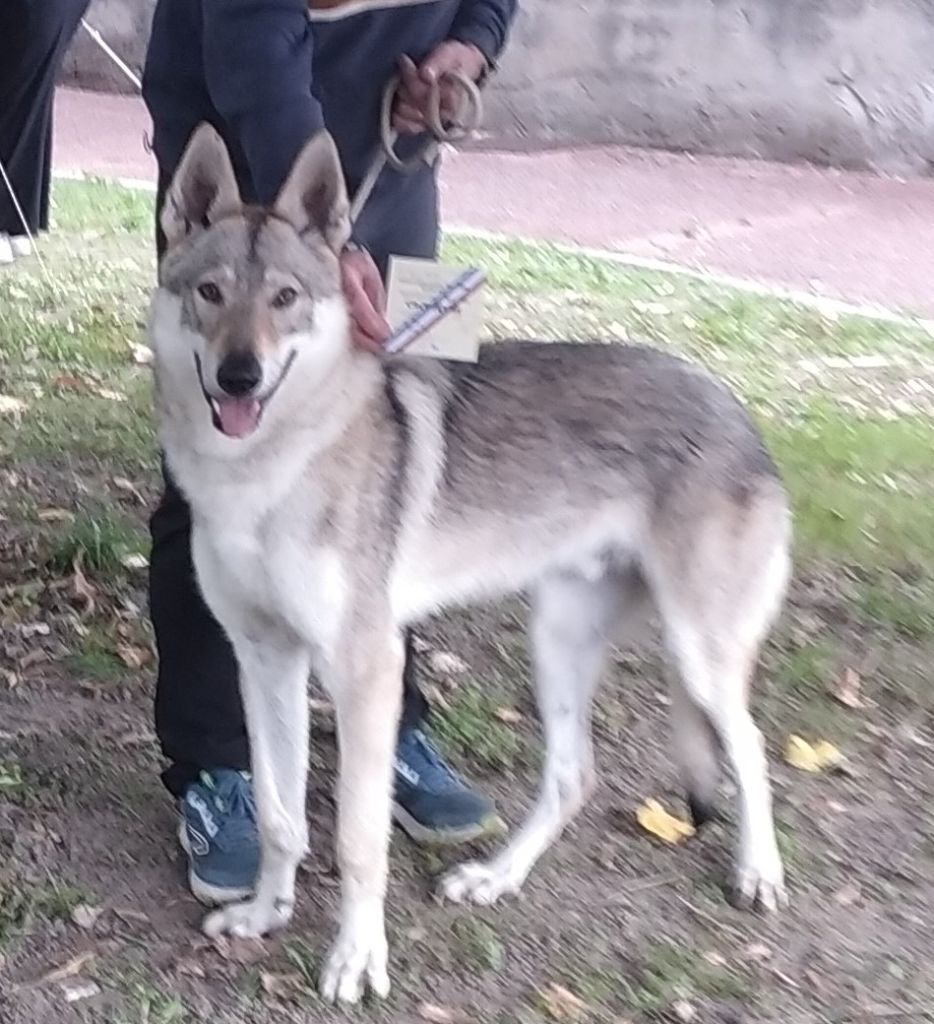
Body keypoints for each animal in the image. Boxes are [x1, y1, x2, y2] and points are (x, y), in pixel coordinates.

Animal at [148, 124, 791, 1005]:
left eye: (284, 299)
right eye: (210, 293)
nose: (238, 375)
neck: (261, 475)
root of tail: (738, 412)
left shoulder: (366, 668)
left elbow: (357, 838)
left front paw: (358, 959)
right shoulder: (265, 659)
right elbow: (282, 817)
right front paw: (264, 913)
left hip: (697, 654)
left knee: (753, 750)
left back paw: (758, 872)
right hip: (557, 644)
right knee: (574, 777)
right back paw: (494, 878)